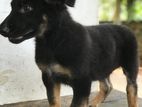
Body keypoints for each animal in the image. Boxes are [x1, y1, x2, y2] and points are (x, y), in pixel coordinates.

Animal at [0, 0, 138, 107]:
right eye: (12, 6)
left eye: (27, 8)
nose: (2, 30)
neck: (55, 41)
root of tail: (125, 27)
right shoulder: (49, 77)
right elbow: (54, 102)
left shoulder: (82, 82)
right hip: (101, 67)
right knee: (107, 86)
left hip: (130, 67)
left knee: (132, 89)